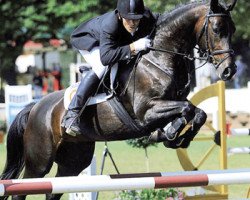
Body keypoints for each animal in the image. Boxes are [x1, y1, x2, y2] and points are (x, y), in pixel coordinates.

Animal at [0, 0, 237, 199]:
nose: (229, 71)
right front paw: (170, 134)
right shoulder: (148, 111)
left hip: (74, 160)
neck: (158, 59)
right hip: (39, 161)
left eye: (233, 30)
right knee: (24, 187)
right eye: (217, 29)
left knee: (56, 188)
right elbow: (187, 109)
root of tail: (35, 107)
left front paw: (175, 137)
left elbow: (199, 113)